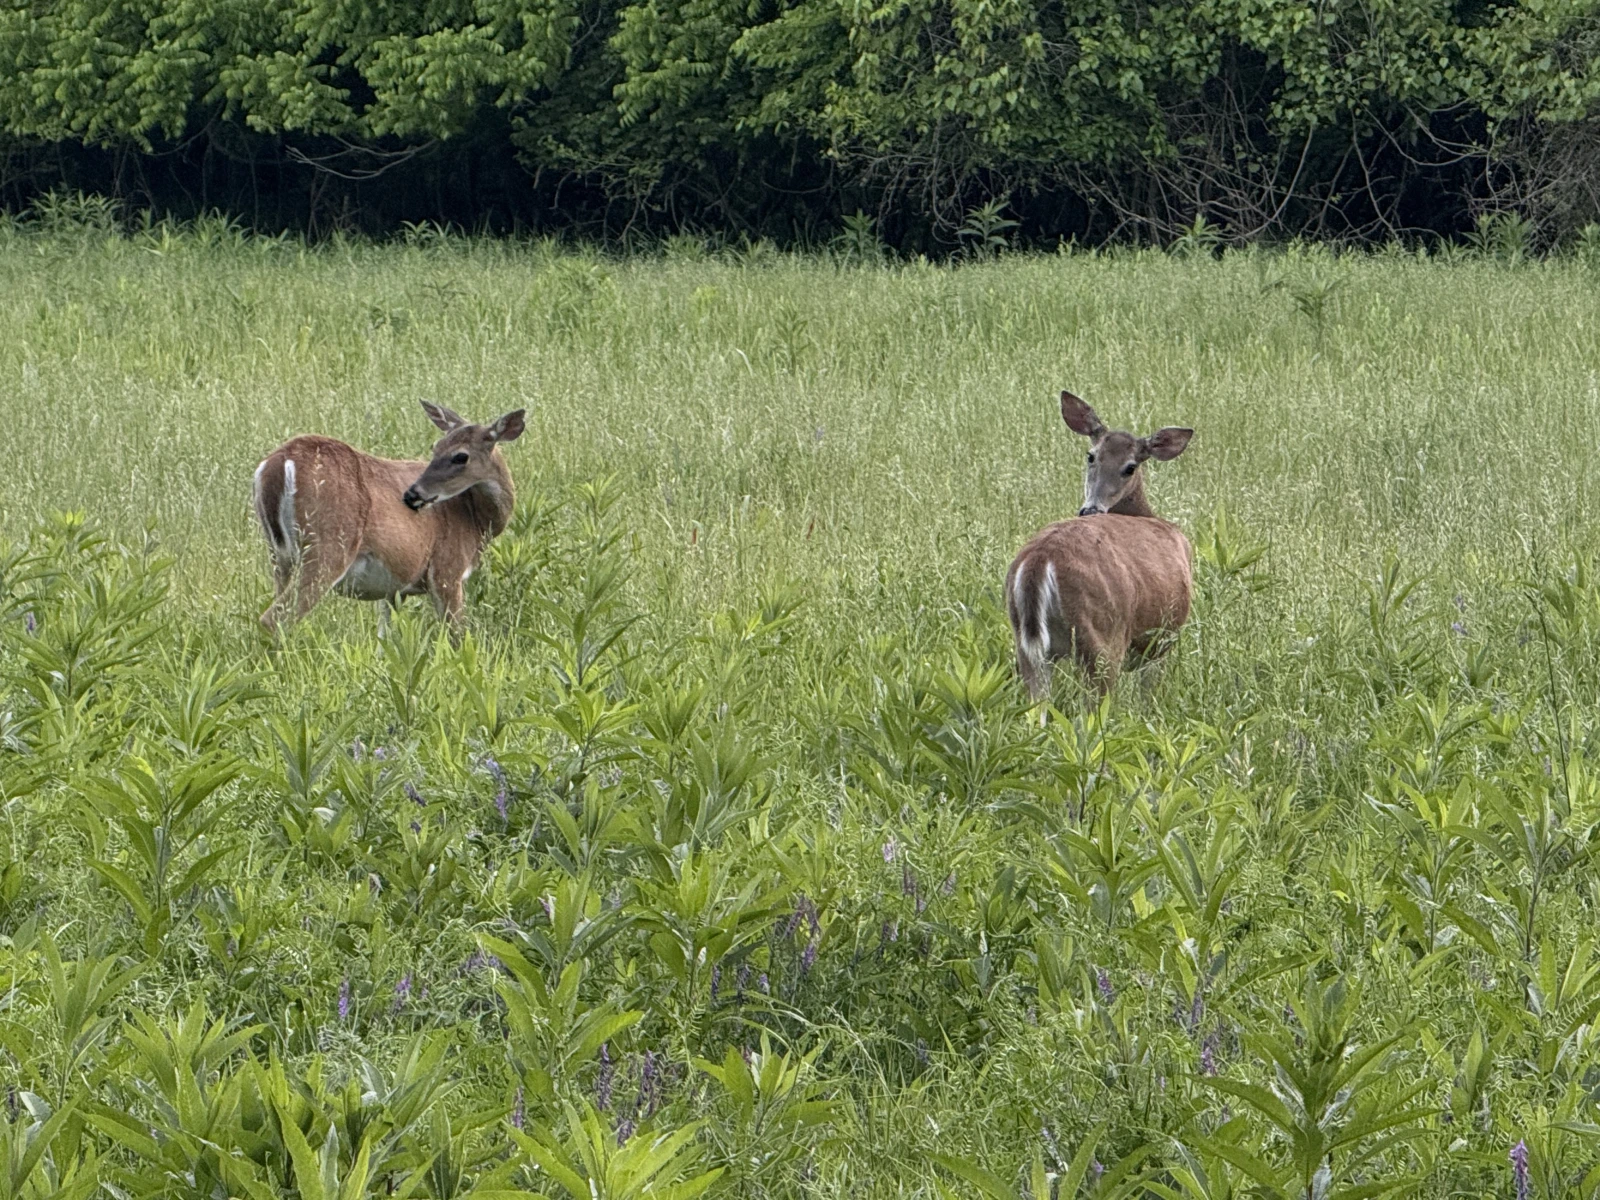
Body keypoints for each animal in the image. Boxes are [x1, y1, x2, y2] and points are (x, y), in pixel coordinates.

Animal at [253, 402, 525, 636]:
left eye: (460, 456)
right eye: (435, 448)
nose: (413, 494)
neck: (476, 521)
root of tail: (278, 463)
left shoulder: (394, 589)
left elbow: (386, 640)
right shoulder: (447, 570)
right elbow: (457, 636)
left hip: (279, 555)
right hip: (327, 547)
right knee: (273, 619)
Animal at [1006, 390, 1194, 702]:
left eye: (1130, 467)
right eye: (1091, 455)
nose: (1090, 509)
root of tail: (1039, 561)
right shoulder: (1164, 635)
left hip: (1026, 644)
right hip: (1102, 635)